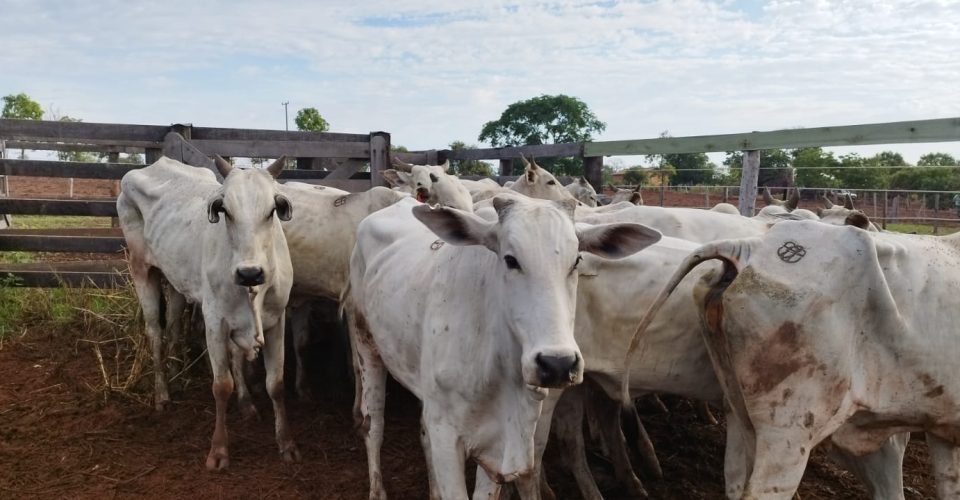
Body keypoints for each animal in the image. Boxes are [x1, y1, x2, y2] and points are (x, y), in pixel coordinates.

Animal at [119, 158, 300, 470]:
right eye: (225, 210)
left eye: (271, 210)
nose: (250, 273)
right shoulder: (215, 322)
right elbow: (221, 385)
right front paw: (219, 450)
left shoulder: (275, 321)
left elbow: (275, 384)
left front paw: (284, 442)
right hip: (141, 268)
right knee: (155, 332)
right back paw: (162, 395)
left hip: (177, 282)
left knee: (174, 326)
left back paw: (179, 375)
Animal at [346, 193, 660, 498]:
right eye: (510, 260)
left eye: (577, 261)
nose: (557, 364)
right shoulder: (446, 435)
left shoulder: (499, 446)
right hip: (366, 344)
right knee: (373, 424)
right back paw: (377, 490)